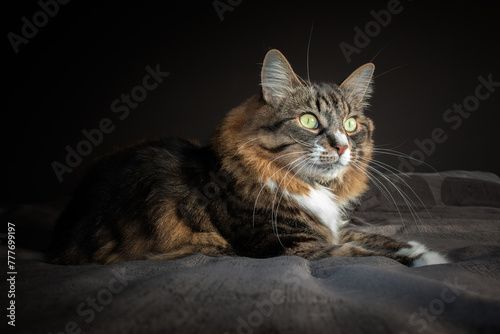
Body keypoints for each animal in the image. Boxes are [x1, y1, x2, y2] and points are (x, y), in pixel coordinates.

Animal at [47, 49, 450, 268]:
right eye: (309, 121)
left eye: (351, 125)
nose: (341, 146)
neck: (310, 186)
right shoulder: (291, 247)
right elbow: (363, 253)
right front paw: (427, 262)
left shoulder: (328, 228)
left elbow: (369, 236)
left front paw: (422, 249)